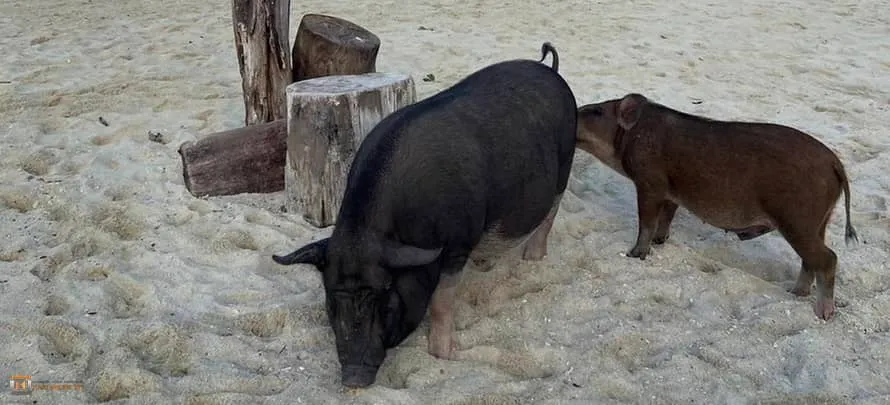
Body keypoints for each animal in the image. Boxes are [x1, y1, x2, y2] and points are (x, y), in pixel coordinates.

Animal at [272, 42, 577, 388]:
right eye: (331, 297)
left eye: (385, 294)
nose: (352, 378)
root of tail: (551, 71)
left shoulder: (459, 240)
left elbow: (442, 301)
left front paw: (443, 356)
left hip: (565, 163)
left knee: (551, 211)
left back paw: (533, 258)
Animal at [575, 93, 858, 321]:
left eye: (597, 111)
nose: (577, 109)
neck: (632, 137)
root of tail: (835, 163)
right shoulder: (671, 193)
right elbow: (666, 217)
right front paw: (660, 241)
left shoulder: (649, 184)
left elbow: (647, 221)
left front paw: (635, 254)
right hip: (819, 223)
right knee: (811, 260)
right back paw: (794, 293)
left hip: (797, 221)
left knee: (828, 258)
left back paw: (823, 314)